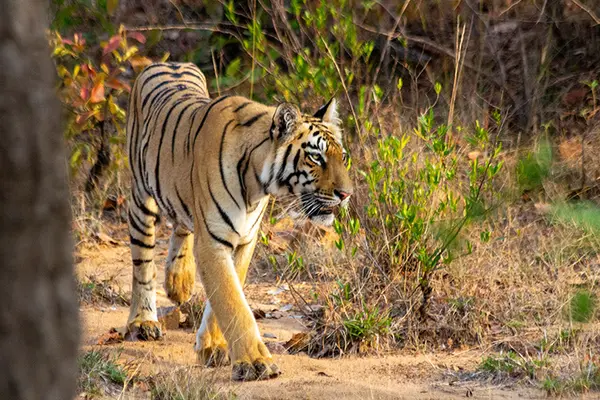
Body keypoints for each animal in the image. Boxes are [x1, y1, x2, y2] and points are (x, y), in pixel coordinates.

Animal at [126, 61, 352, 380]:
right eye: (316, 158)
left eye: (342, 157)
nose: (346, 194)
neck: (257, 184)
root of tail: (168, 62)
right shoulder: (213, 241)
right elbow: (233, 302)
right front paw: (255, 362)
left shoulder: (244, 239)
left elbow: (225, 295)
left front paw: (211, 346)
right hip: (141, 197)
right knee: (143, 262)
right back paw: (143, 322)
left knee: (182, 226)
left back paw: (179, 282)